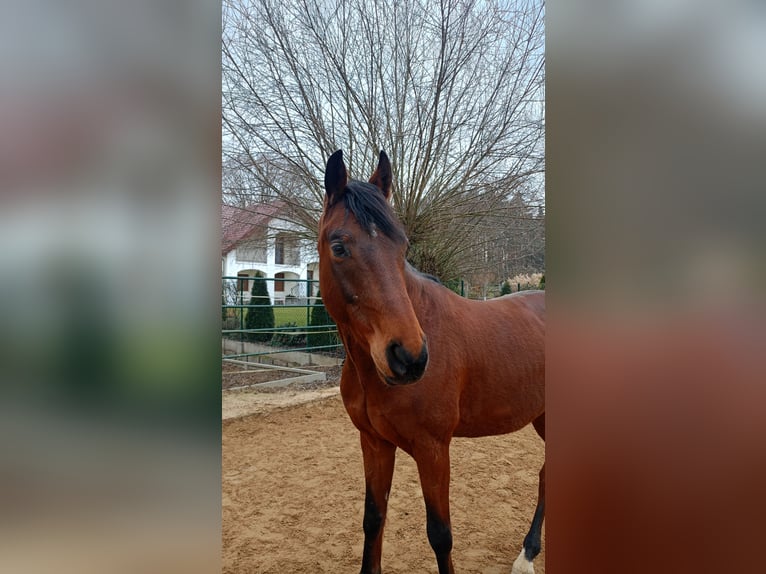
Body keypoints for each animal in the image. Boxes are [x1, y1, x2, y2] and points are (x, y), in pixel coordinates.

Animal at [318, 151, 544, 572]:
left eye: (402, 245)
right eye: (338, 246)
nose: (409, 356)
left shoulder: (433, 449)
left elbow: (440, 535)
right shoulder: (374, 443)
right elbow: (374, 519)